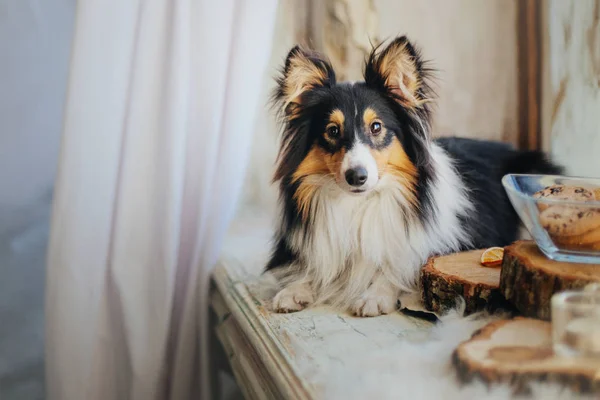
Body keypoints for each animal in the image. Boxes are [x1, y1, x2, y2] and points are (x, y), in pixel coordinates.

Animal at [264, 36, 560, 316]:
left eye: (376, 127)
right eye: (332, 131)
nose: (356, 177)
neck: (359, 204)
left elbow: (398, 267)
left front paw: (375, 295)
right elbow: (311, 268)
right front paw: (294, 290)